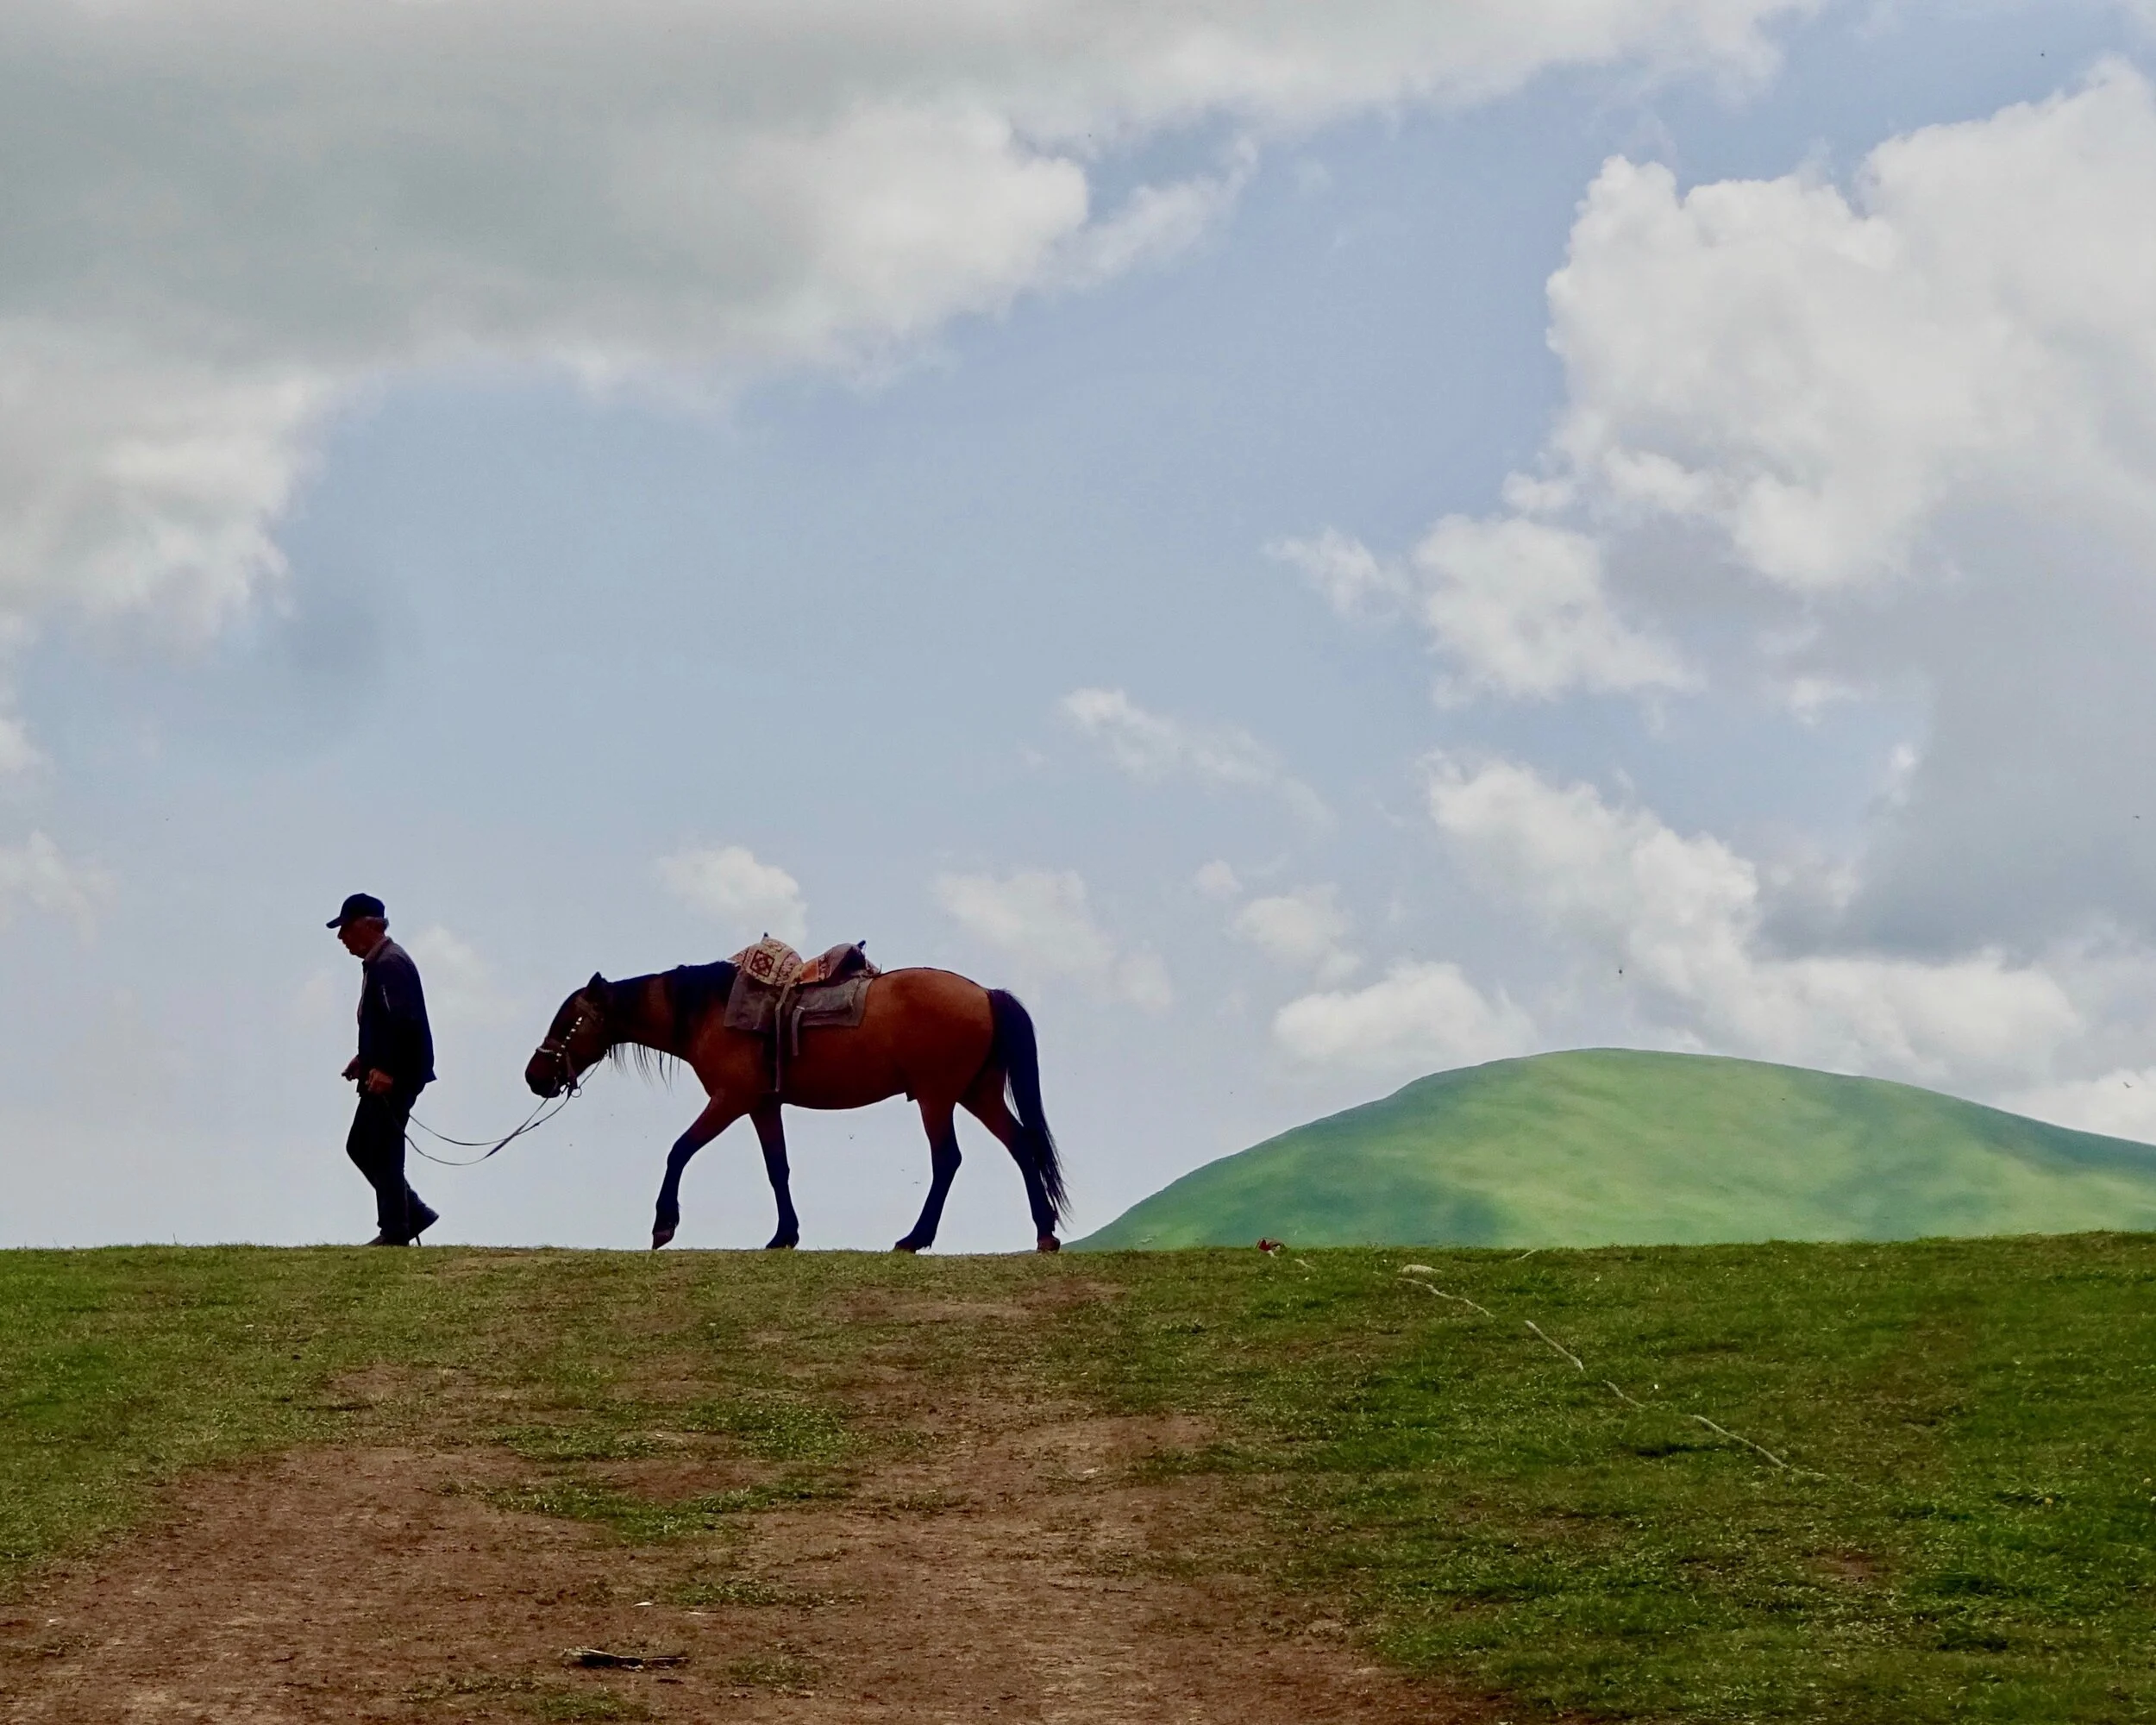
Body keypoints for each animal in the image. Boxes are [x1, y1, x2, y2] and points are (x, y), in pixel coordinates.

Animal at [524, 960, 1067, 1254]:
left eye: (568, 1021)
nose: (535, 1076)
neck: (712, 1010)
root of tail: (986, 994)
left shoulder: (730, 1100)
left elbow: (679, 1150)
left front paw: (664, 1222)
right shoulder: (763, 1105)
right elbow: (777, 1168)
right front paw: (785, 1235)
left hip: (937, 1098)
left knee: (947, 1160)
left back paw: (915, 1238)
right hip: (977, 1094)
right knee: (1022, 1147)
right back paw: (1044, 1233)